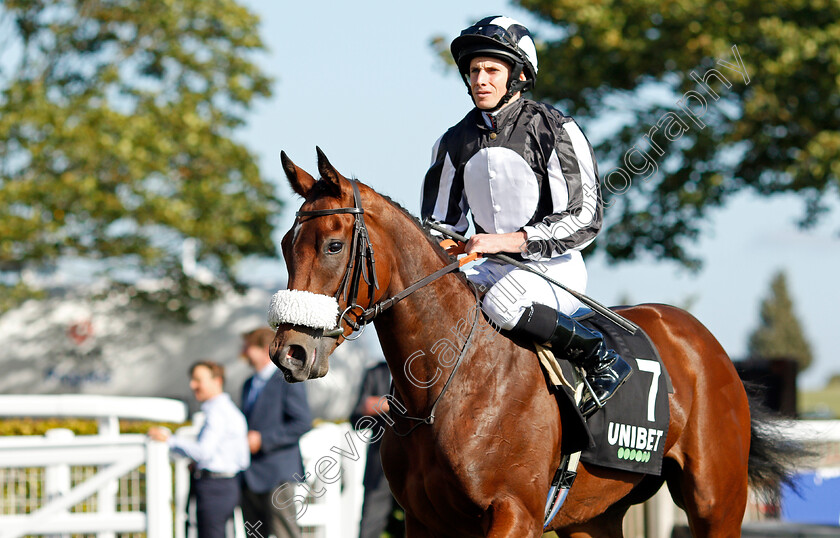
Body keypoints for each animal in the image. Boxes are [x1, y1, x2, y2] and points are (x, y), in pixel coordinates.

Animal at [270, 148, 800, 536]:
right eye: (284, 245)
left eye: (333, 245)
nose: (289, 352)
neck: (446, 389)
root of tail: (702, 340)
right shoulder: (423, 522)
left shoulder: (515, 513)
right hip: (595, 515)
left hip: (715, 501)